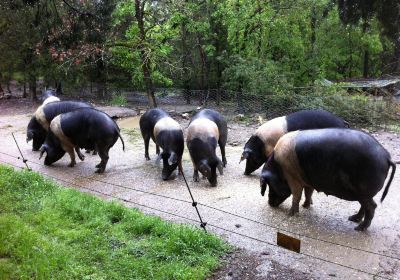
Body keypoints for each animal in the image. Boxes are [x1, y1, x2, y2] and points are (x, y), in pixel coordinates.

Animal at [260, 128, 396, 231]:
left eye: (269, 186)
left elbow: (296, 195)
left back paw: (358, 228)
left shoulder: (293, 178)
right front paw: (306, 206)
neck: (278, 167)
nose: (269, 203)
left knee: (372, 207)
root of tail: (386, 156)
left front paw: (291, 213)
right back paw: (352, 219)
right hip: (364, 194)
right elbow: (308, 193)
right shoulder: (308, 180)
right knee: (365, 207)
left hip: (363, 192)